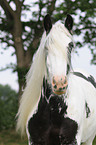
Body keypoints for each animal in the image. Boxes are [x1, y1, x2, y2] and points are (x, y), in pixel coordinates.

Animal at [16, 13, 96, 145]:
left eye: (71, 46)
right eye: (46, 47)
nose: (59, 83)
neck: (54, 110)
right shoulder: (34, 141)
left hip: (89, 139)